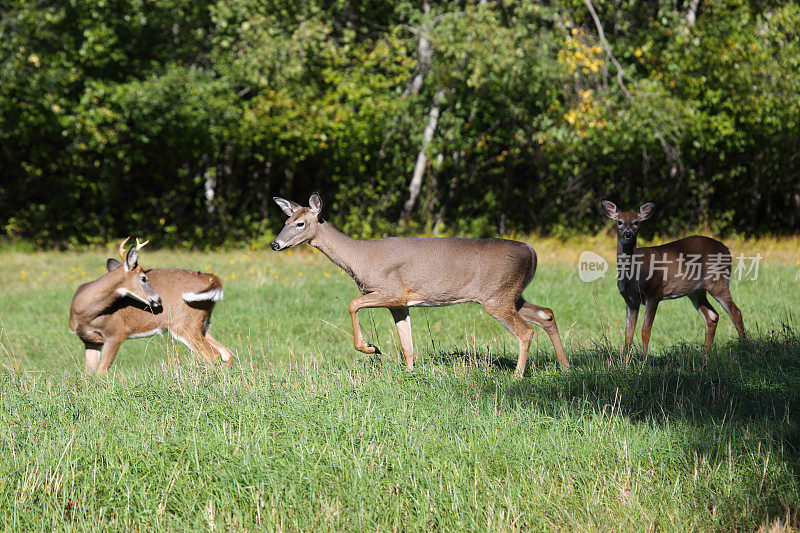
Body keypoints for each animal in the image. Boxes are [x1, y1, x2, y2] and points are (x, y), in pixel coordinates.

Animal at [69, 237, 233, 374]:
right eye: (143, 278)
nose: (158, 300)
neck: (83, 313)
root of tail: (211, 279)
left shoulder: (115, 333)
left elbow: (101, 372)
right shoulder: (90, 341)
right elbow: (88, 374)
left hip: (184, 324)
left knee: (212, 355)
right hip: (202, 324)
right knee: (226, 353)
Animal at [272, 193, 572, 376]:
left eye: (300, 223)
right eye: (285, 220)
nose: (276, 244)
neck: (360, 258)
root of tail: (531, 250)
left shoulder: (392, 291)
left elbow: (353, 303)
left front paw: (371, 348)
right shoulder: (400, 304)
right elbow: (407, 343)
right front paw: (409, 373)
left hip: (496, 296)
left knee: (526, 332)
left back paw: (517, 377)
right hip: (512, 294)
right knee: (546, 314)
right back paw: (566, 367)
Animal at [604, 198, 748, 354]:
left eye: (636, 222)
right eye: (619, 221)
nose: (628, 233)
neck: (634, 274)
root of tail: (727, 249)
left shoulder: (654, 293)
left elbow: (645, 331)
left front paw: (644, 358)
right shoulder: (630, 300)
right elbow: (628, 333)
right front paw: (625, 358)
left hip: (718, 282)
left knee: (736, 312)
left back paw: (744, 347)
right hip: (696, 291)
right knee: (712, 316)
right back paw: (705, 353)